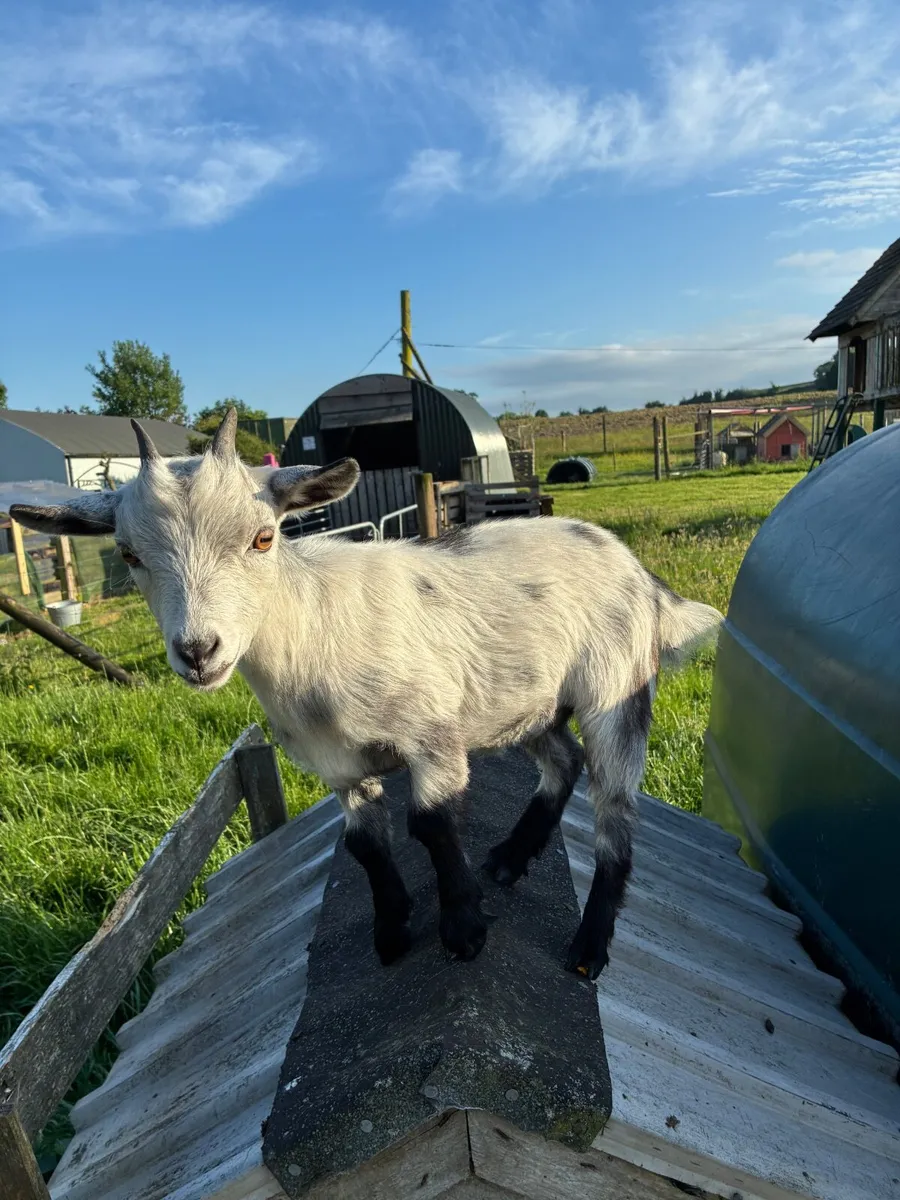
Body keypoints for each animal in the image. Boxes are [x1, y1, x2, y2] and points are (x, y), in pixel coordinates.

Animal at [11, 408, 722, 978]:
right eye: (128, 555)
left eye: (264, 536)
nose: (199, 652)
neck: (312, 640)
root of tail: (646, 579)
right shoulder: (338, 767)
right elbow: (364, 845)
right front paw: (392, 928)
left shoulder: (432, 737)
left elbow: (430, 824)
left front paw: (462, 929)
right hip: (520, 703)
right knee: (563, 762)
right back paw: (509, 859)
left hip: (615, 691)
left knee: (616, 817)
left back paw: (587, 946)